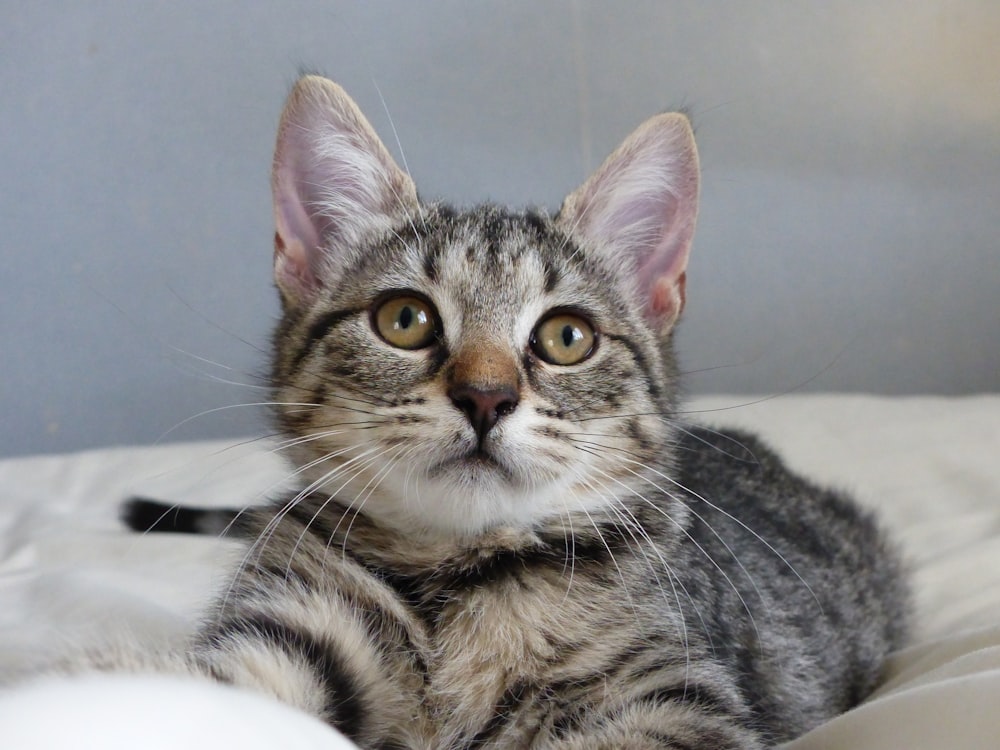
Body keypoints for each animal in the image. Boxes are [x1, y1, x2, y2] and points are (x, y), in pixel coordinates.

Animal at [123, 78, 908, 750]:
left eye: (567, 337)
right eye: (404, 319)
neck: (461, 576)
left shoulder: (677, 700)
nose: (485, 396)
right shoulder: (296, 625)